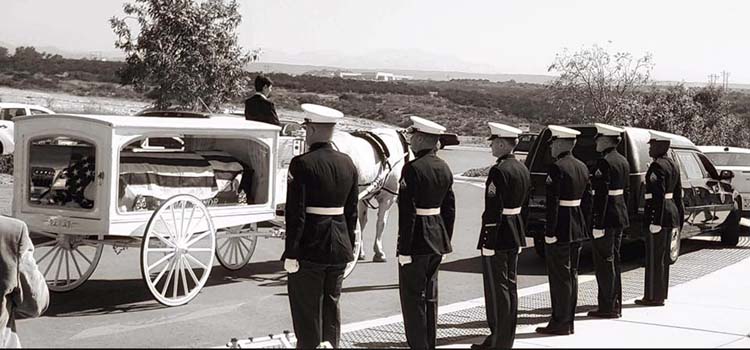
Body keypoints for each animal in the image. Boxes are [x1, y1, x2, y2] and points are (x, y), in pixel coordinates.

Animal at [334, 127, 414, 262]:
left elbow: (362, 222)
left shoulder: (362, 198)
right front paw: (378, 251)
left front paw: (360, 251)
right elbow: (381, 223)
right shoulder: (387, 198)